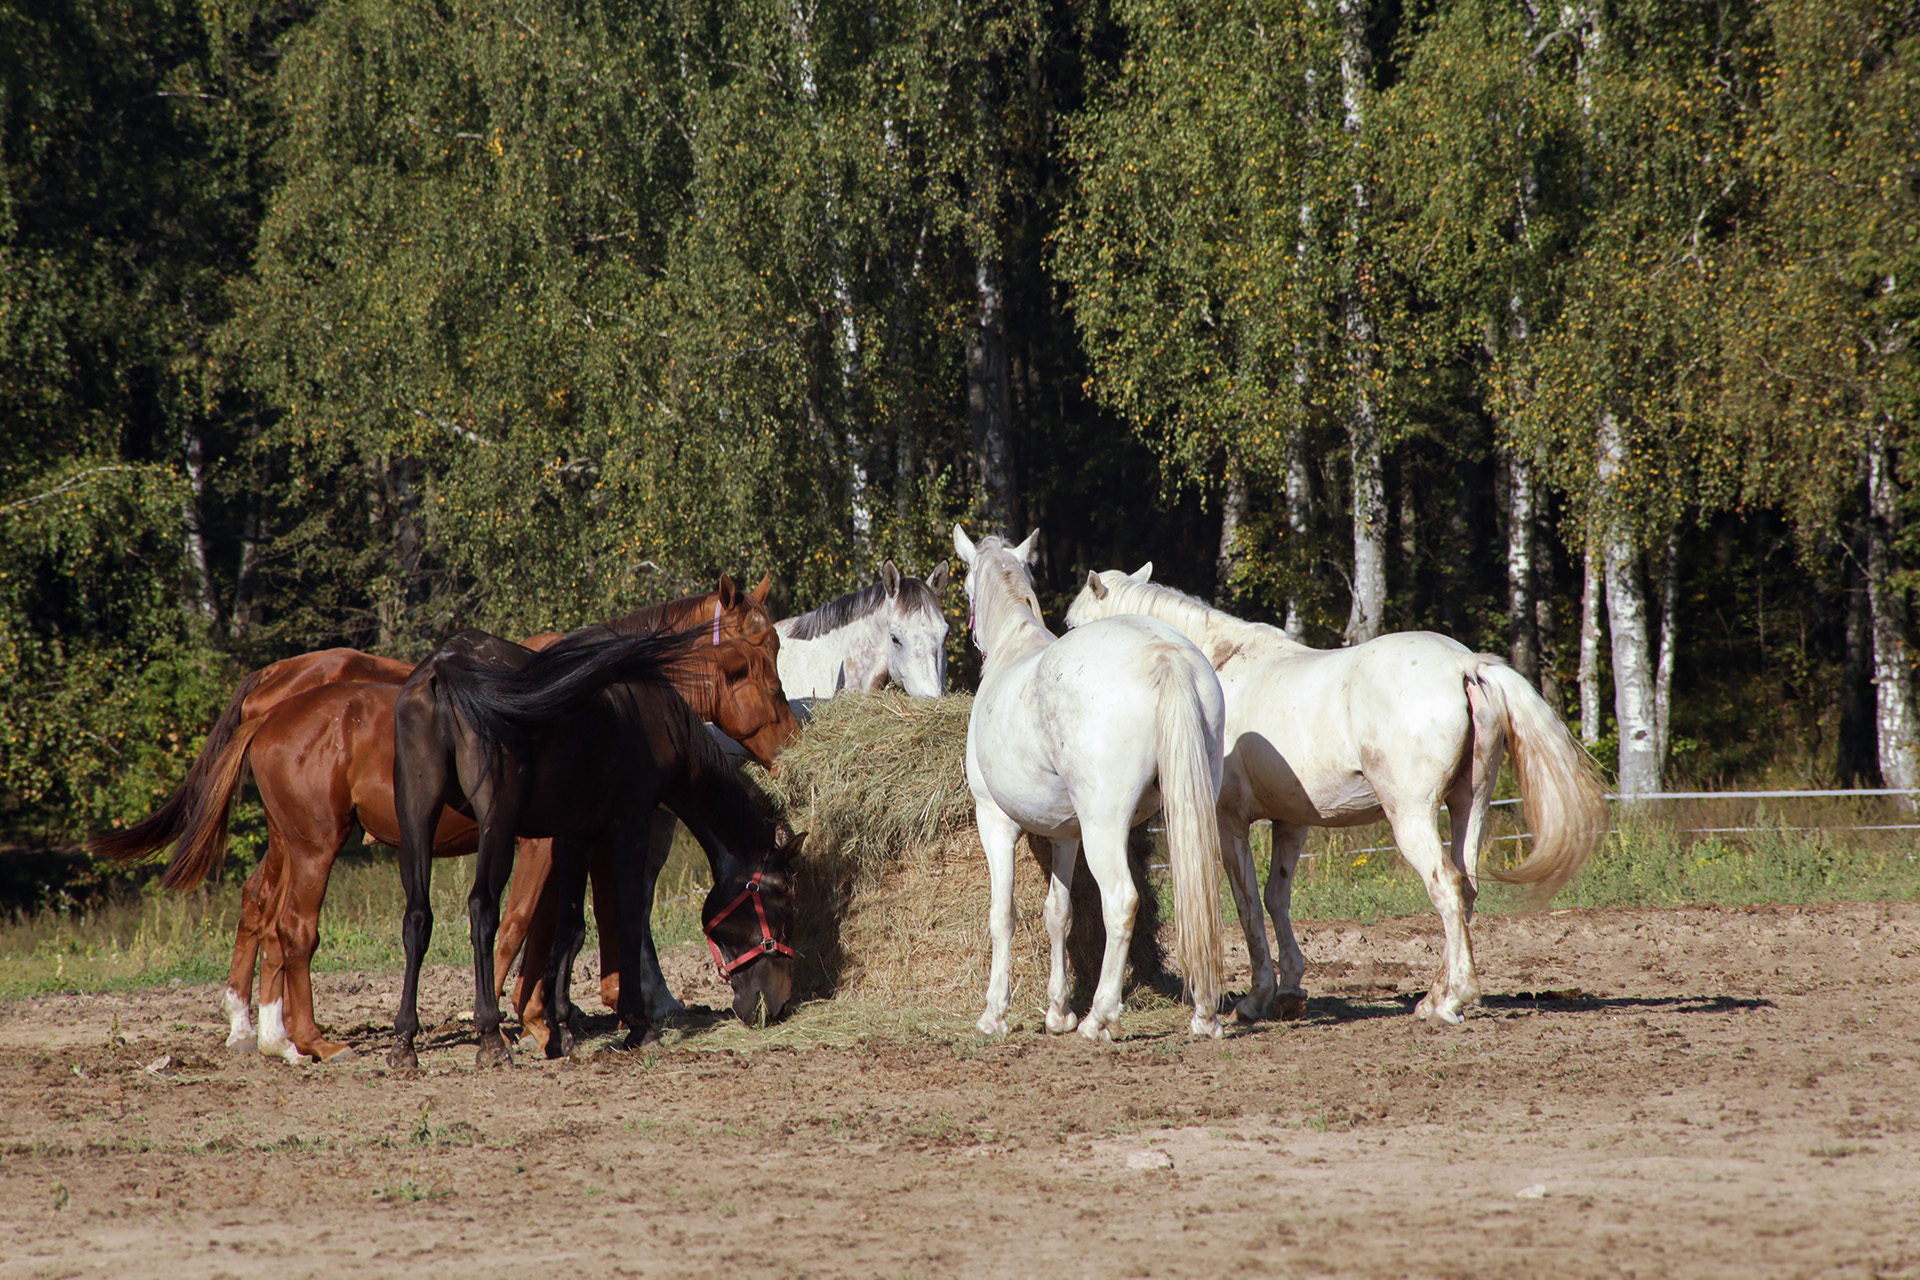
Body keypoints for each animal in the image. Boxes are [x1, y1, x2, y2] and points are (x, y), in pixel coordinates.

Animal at [389, 625, 802, 1066]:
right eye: (783, 904)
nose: (778, 1004)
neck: (656, 718)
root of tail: (445, 665)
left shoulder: (575, 836)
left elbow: (572, 927)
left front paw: (563, 1028)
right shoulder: (631, 823)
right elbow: (627, 918)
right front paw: (639, 1025)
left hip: (417, 815)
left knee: (417, 916)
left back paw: (405, 1040)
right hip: (495, 821)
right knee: (482, 908)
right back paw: (490, 1036)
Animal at [948, 529, 1228, 1043]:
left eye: (965, 587)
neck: (1014, 648)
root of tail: (1165, 655)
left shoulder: (993, 821)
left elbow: (1003, 915)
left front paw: (995, 1013)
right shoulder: (1065, 835)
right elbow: (1059, 914)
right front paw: (1058, 1011)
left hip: (1105, 826)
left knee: (1120, 901)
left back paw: (1099, 1017)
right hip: (1190, 811)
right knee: (1200, 897)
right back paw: (1204, 1015)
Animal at [1067, 564, 1605, 1028]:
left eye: (1072, 624)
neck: (1219, 666)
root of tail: (1464, 664)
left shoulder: (1229, 822)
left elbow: (1246, 904)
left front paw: (1256, 999)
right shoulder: (1291, 820)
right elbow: (1276, 897)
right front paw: (1288, 992)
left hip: (1411, 817)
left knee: (1447, 887)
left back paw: (1454, 999)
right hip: (1468, 806)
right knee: (1467, 887)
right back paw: (1434, 996)